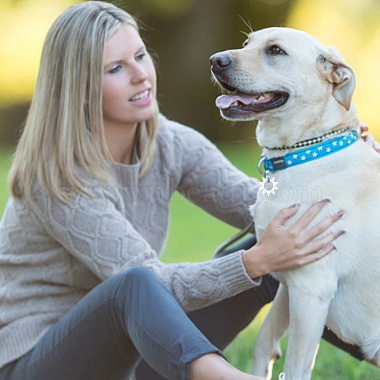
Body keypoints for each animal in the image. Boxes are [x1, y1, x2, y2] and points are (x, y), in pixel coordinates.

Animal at [209, 27, 380, 380]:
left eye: (275, 50)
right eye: (246, 43)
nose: (215, 60)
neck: (307, 151)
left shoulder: (311, 288)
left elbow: (297, 365)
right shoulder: (288, 282)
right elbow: (264, 340)